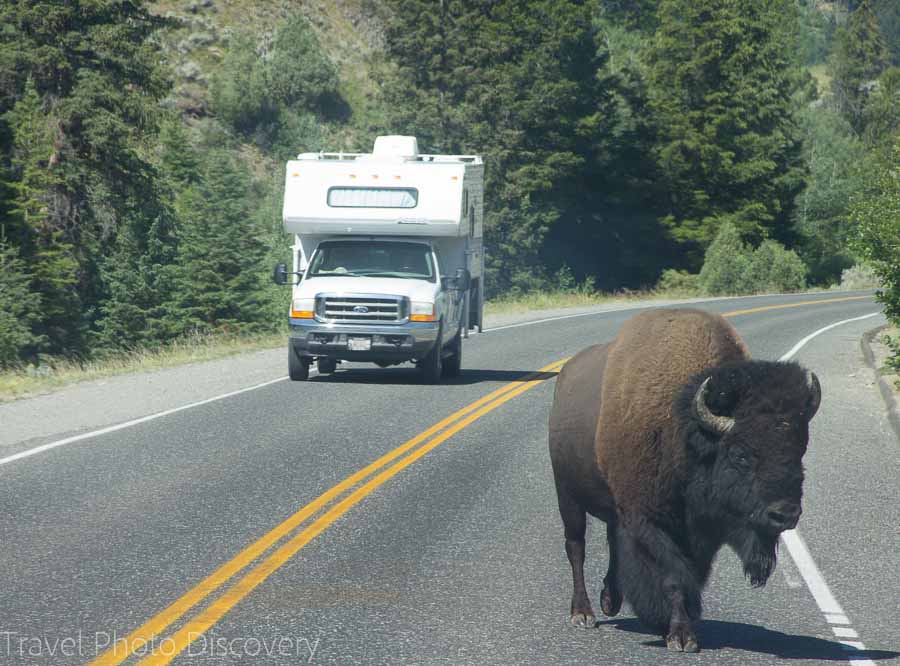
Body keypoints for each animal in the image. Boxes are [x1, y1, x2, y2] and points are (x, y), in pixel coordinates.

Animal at [548, 308, 824, 652]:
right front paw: (681, 637)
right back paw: (583, 613)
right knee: (576, 548)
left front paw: (681, 626)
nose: (785, 514)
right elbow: (674, 577)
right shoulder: (650, 523)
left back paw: (610, 600)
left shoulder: (701, 531)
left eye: (800, 450)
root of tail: (565, 376)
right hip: (568, 497)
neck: (684, 428)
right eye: (740, 454)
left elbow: (692, 576)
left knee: (611, 543)